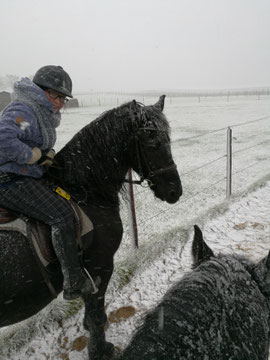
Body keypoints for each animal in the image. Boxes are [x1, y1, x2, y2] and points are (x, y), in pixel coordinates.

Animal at [0, 95, 182, 360]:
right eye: (153, 143)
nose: (175, 192)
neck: (84, 191)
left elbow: (92, 316)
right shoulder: (100, 266)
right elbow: (96, 316)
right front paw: (100, 350)